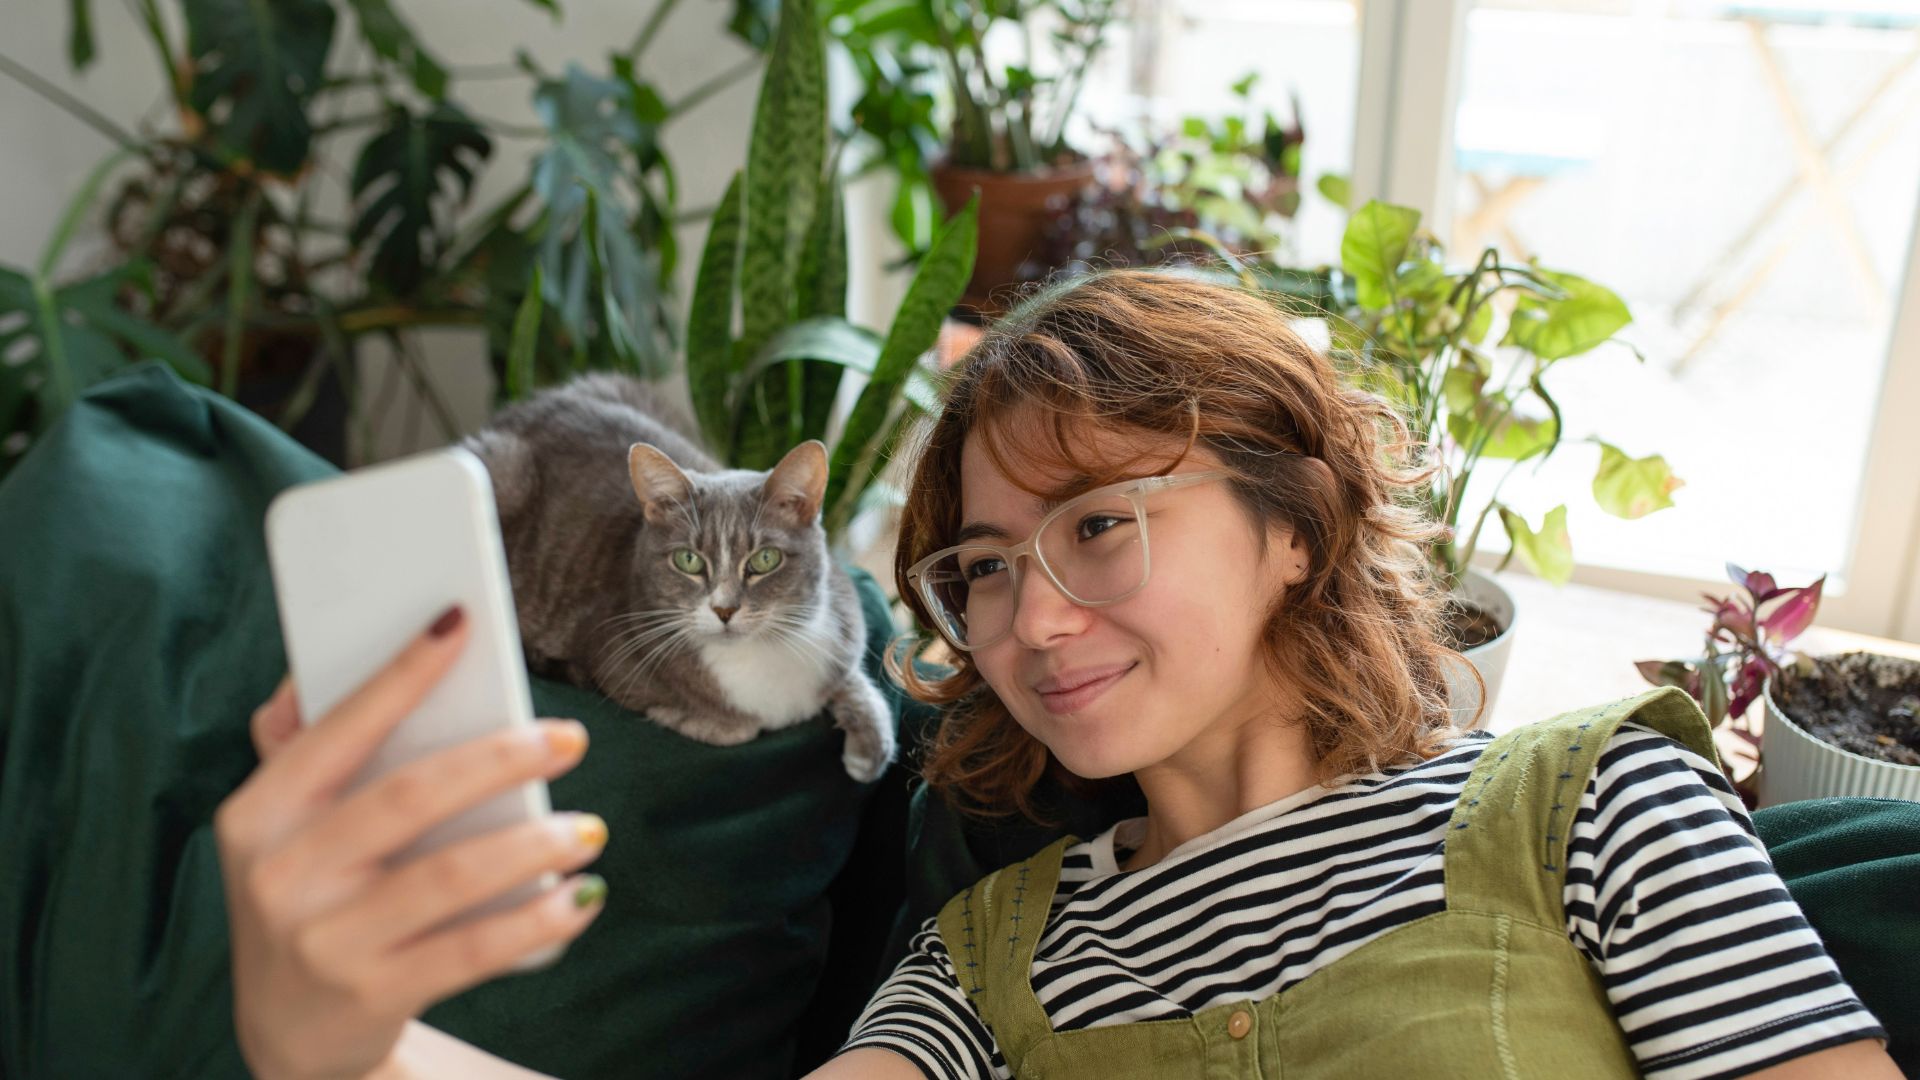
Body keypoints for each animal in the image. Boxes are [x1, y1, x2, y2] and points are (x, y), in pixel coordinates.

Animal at [460, 368, 894, 772]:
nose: (724, 610)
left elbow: (854, 679)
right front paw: (688, 717)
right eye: (689, 560)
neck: (764, 654)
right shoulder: (610, 652)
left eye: (764, 560)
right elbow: (738, 727)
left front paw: (869, 747)